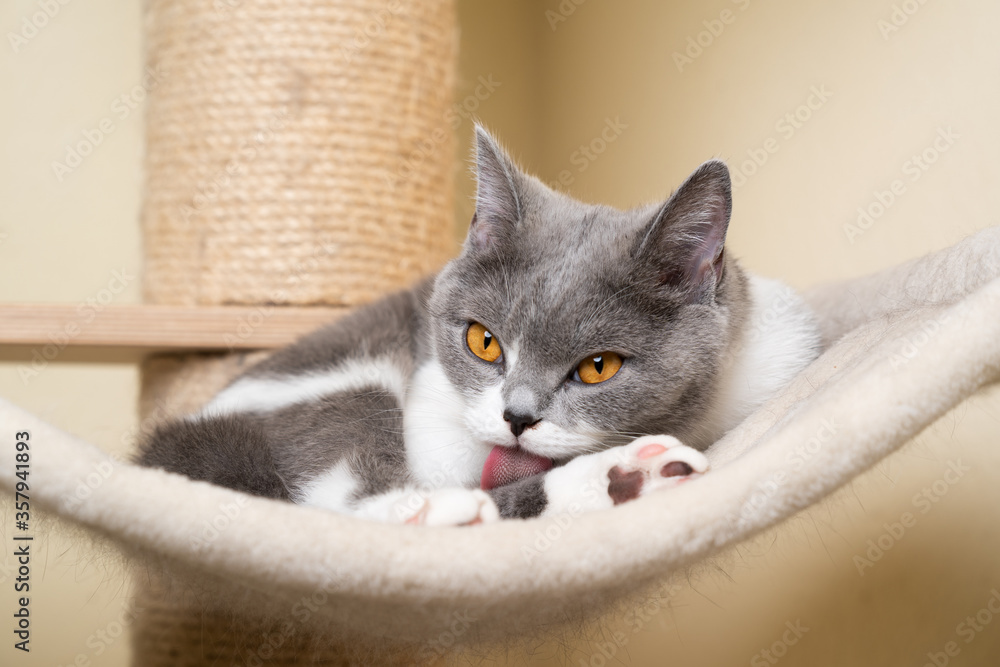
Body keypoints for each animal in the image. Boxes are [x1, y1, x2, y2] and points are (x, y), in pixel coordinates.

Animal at [139, 126, 820, 528]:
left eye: (598, 367)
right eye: (483, 341)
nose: (516, 417)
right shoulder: (433, 413)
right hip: (336, 385)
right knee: (348, 497)